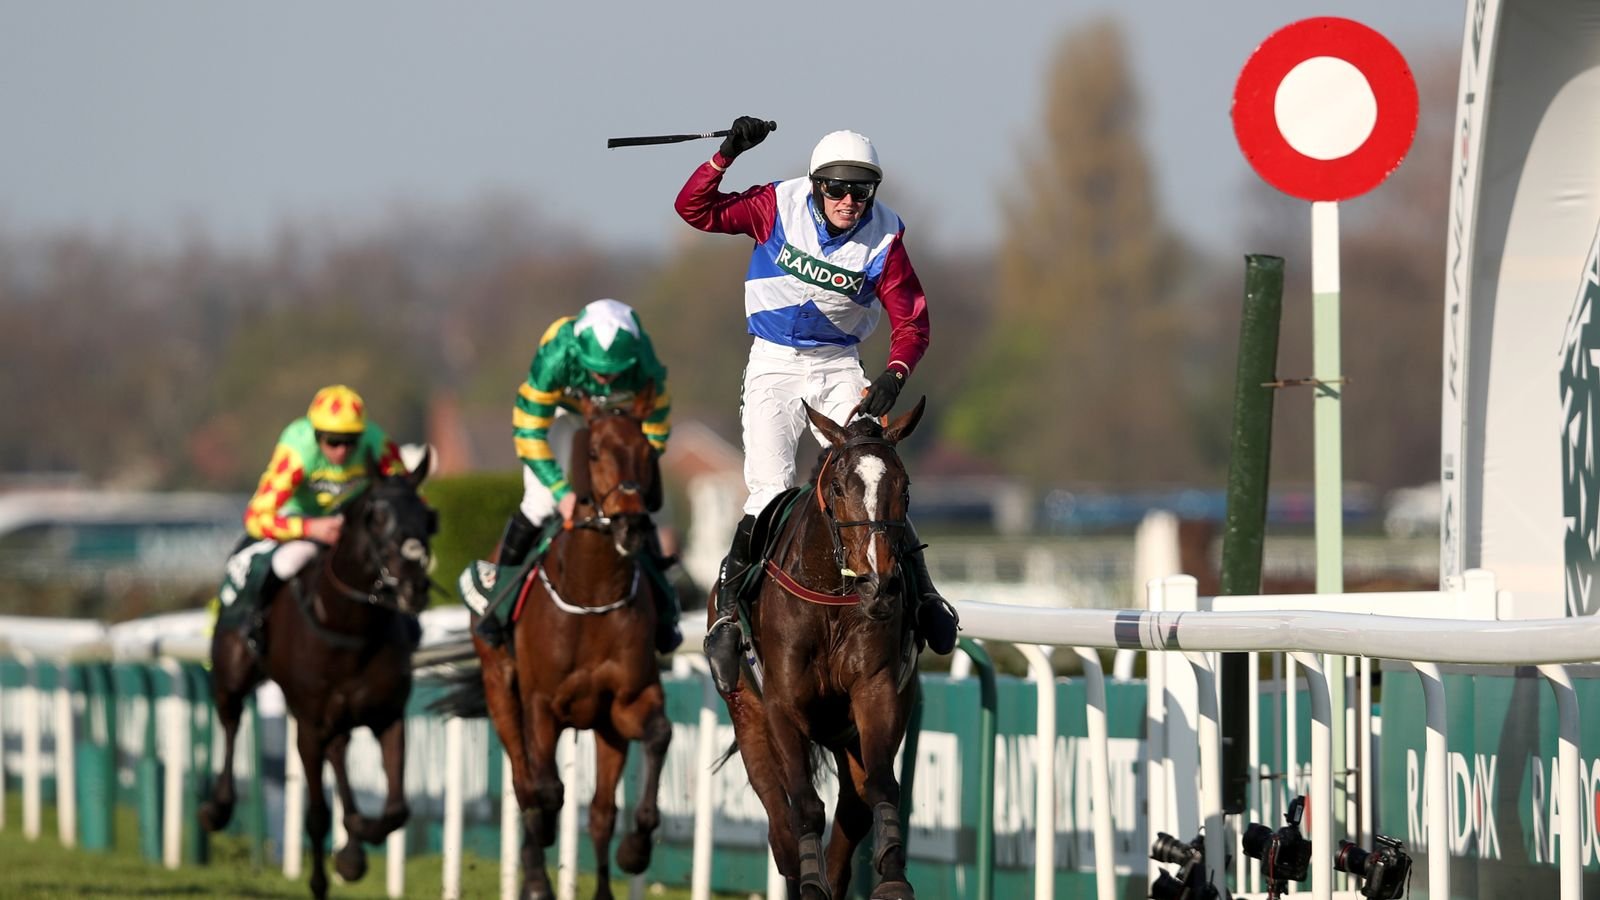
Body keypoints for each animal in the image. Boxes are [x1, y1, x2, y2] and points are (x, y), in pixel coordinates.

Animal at [199, 454, 438, 896]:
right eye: (377, 516)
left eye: (429, 517)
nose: (414, 586)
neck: (349, 629)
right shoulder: (308, 725)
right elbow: (316, 814)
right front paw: (321, 879)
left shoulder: (388, 715)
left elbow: (397, 809)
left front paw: (356, 842)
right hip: (232, 672)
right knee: (231, 720)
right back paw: (216, 808)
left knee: (339, 752)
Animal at [444, 389, 675, 896]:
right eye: (595, 452)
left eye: (647, 453)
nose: (631, 526)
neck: (592, 596)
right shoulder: (541, 705)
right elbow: (545, 789)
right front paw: (540, 850)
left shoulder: (628, 701)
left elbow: (659, 736)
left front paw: (636, 849)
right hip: (501, 691)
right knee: (524, 781)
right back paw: (535, 867)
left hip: (606, 728)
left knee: (600, 813)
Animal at [723, 397, 934, 896]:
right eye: (838, 487)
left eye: (904, 488)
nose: (879, 585)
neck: (831, 599)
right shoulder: (781, 704)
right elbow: (804, 805)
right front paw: (810, 882)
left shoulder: (876, 690)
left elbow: (881, 787)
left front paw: (892, 875)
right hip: (747, 715)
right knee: (779, 824)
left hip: (845, 730)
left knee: (853, 808)